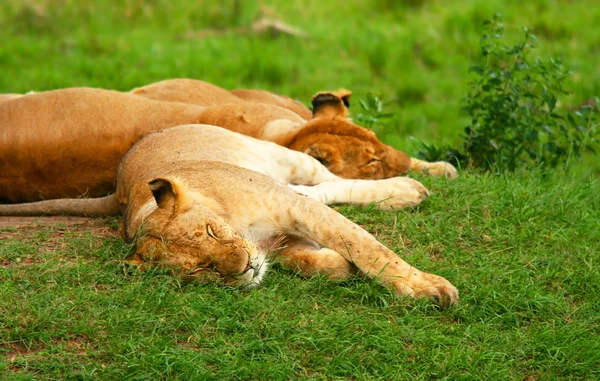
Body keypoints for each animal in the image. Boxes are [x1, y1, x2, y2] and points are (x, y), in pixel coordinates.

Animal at [1, 124, 460, 306]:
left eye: (210, 231)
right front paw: (336, 265)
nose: (243, 269)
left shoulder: (293, 208)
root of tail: (116, 194)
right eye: (199, 270)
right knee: (324, 189)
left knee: (331, 181)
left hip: (283, 157)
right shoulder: (284, 236)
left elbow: (367, 247)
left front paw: (425, 288)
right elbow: (318, 260)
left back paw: (416, 184)